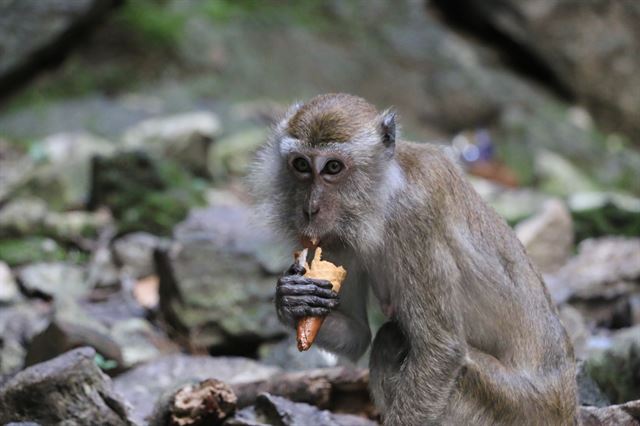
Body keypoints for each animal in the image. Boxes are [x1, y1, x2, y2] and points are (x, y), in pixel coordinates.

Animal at [248, 94, 576, 426]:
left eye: (333, 167)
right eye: (301, 165)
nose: (310, 209)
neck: (384, 195)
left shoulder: (414, 217)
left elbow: (440, 349)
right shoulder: (335, 239)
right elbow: (357, 334)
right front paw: (290, 299)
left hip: (512, 407)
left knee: (395, 337)